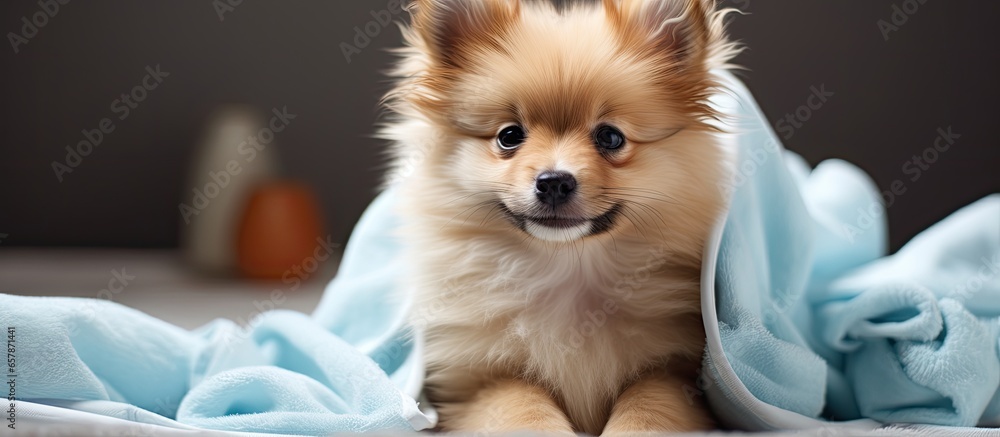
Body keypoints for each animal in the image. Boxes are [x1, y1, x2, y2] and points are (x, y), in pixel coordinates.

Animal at [378, 0, 740, 432]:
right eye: (509, 136)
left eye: (610, 137)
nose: (553, 181)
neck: (568, 268)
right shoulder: (479, 383)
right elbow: (521, 409)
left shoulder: (676, 375)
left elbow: (648, 409)